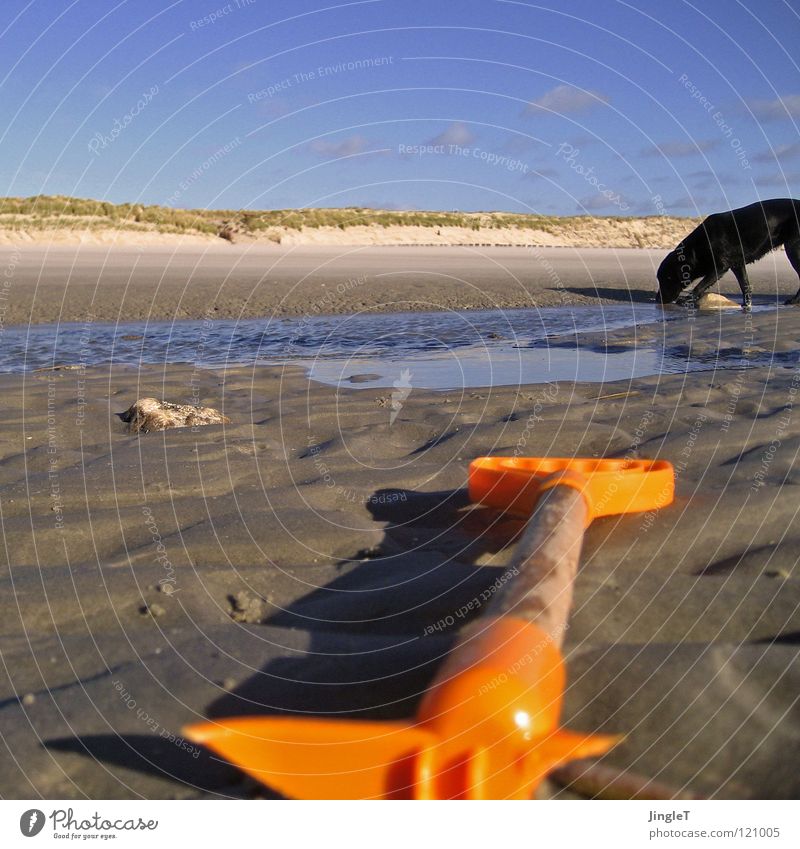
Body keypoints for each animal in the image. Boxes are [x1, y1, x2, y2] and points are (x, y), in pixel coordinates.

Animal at [656, 196, 800, 308]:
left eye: (667, 278)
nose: (658, 299)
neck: (698, 247)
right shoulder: (737, 265)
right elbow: (744, 285)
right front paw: (746, 305)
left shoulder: (720, 267)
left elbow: (700, 285)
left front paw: (687, 299)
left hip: (793, 249)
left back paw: (794, 300)